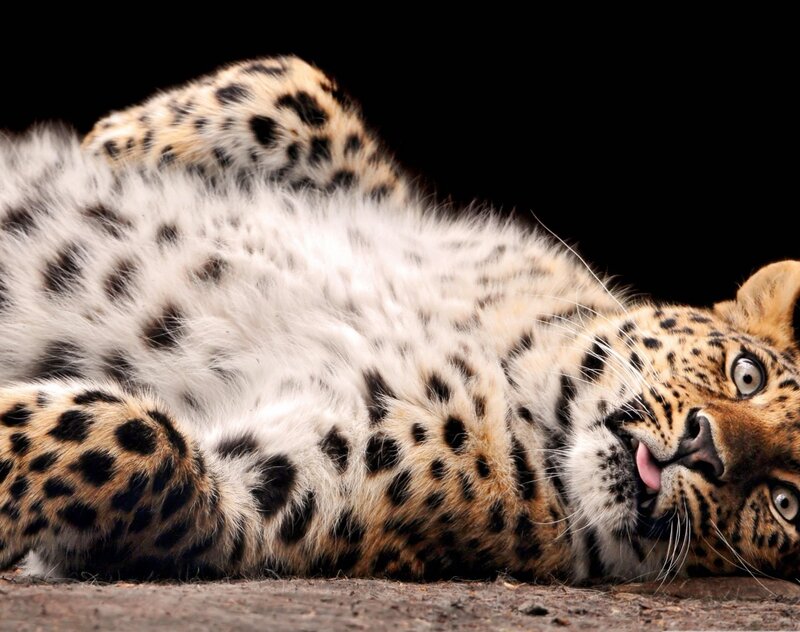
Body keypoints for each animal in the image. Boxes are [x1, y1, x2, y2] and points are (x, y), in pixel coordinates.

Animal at [1, 55, 799, 584]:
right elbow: (300, 88)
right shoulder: (396, 207)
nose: (705, 449)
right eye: (746, 374)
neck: (516, 372)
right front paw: (116, 144)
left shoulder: (271, 499)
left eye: (786, 502)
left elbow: (138, 443)